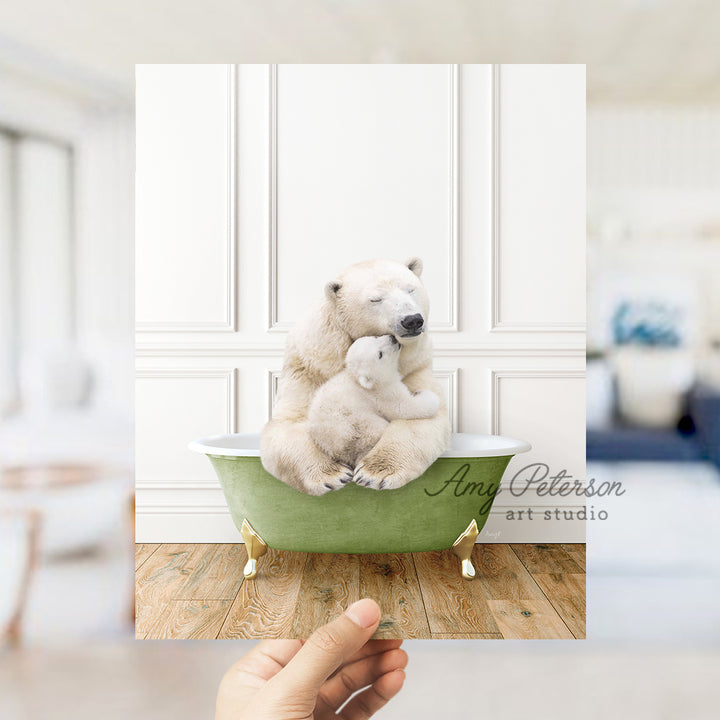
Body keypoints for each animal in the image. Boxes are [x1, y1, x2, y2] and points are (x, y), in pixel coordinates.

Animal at [308, 334, 442, 476]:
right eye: (380, 354)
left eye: (375, 337)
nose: (393, 338)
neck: (360, 381)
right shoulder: (382, 394)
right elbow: (404, 407)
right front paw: (425, 394)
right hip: (358, 425)